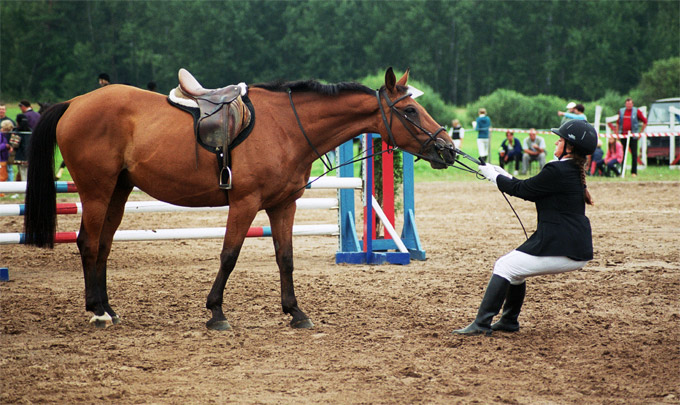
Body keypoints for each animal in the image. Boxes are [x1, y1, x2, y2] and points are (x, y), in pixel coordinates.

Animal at [25, 68, 456, 330]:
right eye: (411, 110)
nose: (448, 149)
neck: (287, 127)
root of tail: (76, 102)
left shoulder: (284, 205)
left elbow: (285, 257)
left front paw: (295, 312)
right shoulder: (245, 203)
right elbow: (229, 255)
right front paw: (216, 312)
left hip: (118, 190)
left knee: (103, 246)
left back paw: (108, 308)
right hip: (96, 190)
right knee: (88, 242)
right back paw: (97, 312)